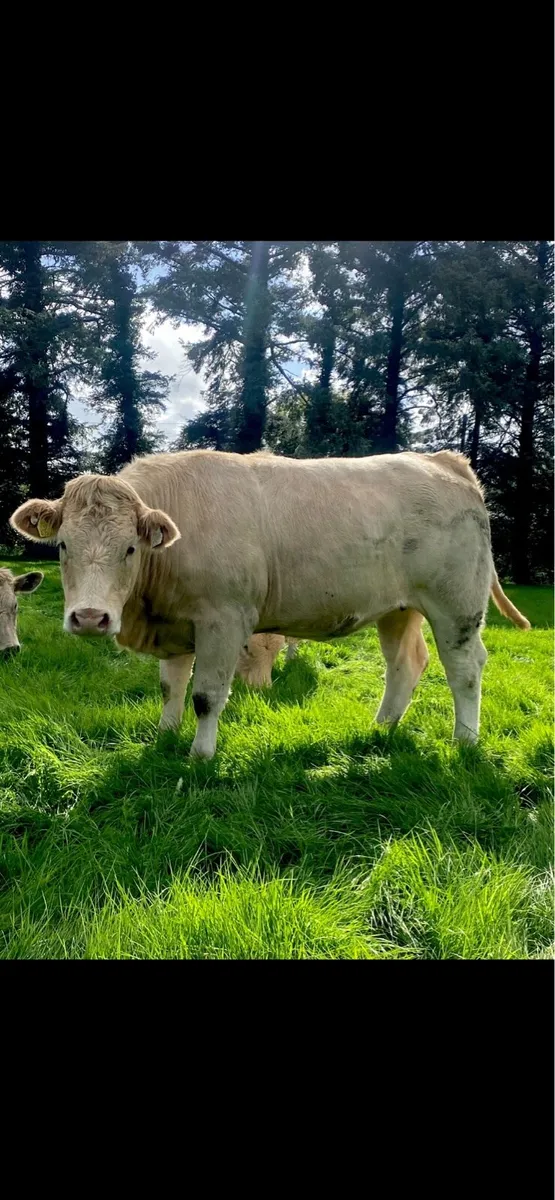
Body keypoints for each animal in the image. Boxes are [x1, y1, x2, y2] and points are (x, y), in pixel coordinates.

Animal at [10, 448, 530, 759]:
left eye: (130, 549)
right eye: (63, 546)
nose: (89, 618)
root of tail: (441, 460)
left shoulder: (223, 620)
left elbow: (206, 696)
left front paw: (199, 757)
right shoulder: (175, 624)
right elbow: (170, 688)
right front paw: (164, 737)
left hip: (456, 606)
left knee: (465, 669)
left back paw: (465, 741)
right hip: (398, 609)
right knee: (405, 663)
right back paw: (382, 728)